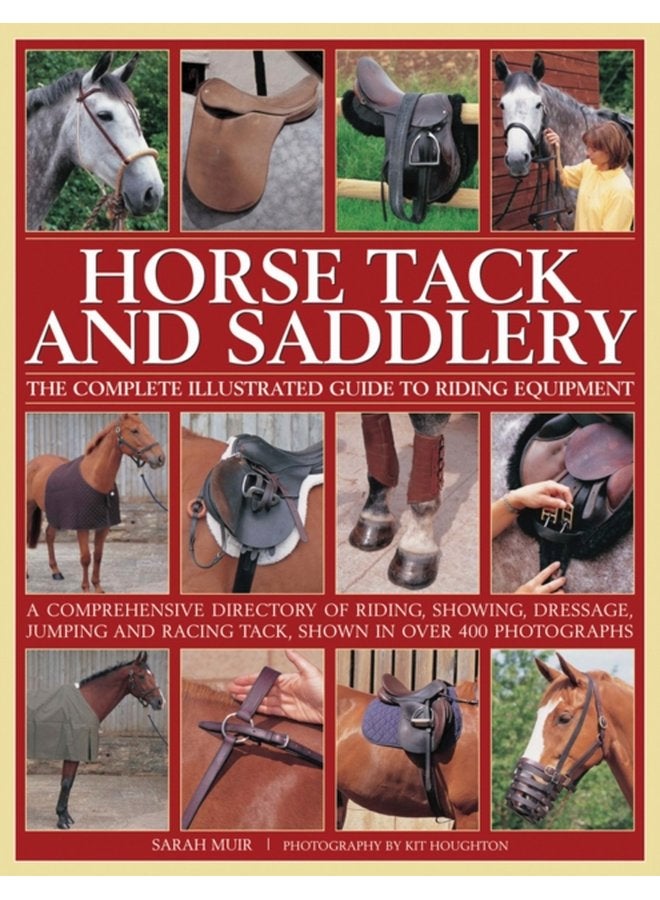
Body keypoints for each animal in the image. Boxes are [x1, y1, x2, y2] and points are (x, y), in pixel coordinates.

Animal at [26, 413, 166, 593]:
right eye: (135, 430)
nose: (160, 458)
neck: (95, 478)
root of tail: (33, 463)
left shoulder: (103, 526)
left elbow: (98, 556)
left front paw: (98, 587)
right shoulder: (82, 527)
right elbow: (86, 557)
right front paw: (86, 588)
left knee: (49, 535)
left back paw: (56, 572)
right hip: (28, 508)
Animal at [27, 652, 165, 829]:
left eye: (152, 675)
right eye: (141, 676)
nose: (160, 702)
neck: (86, 703)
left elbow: (70, 782)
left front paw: (66, 816)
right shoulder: (73, 751)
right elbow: (66, 783)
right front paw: (62, 820)